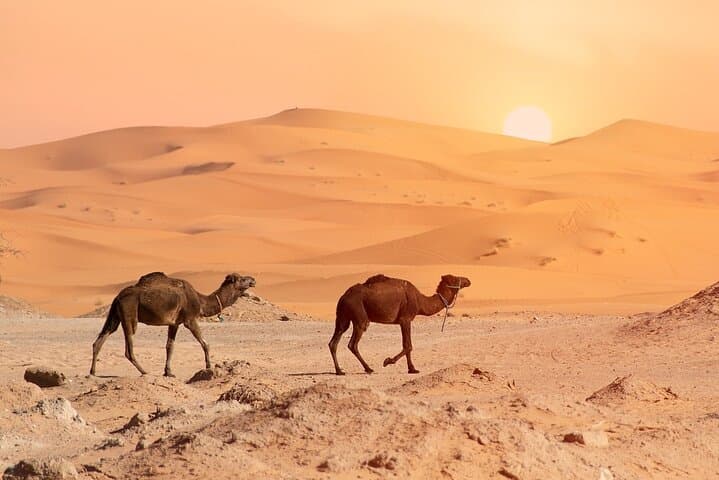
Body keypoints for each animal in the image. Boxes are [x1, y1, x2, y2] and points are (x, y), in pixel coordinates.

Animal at [90, 272, 255, 377]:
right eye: (242, 279)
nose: (253, 280)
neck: (201, 301)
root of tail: (117, 297)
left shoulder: (174, 323)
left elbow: (170, 347)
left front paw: (168, 372)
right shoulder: (190, 319)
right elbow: (205, 343)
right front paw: (208, 366)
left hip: (115, 316)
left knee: (101, 339)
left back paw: (92, 372)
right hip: (129, 314)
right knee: (128, 348)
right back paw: (144, 372)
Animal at [329, 274, 471, 375]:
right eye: (455, 278)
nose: (468, 280)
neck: (420, 301)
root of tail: (343, 297)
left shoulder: (404, 321)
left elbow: (408, 345)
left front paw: (411, 369)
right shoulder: (405, 319)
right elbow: (408, 346)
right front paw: (389, 362)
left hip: (343, 318)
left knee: (333, 342)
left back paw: (339, 371)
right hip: (359, 314)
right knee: (353, 343)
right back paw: (368, 369)